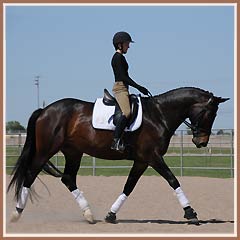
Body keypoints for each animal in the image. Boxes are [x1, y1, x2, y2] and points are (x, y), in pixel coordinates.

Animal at [7, 87, 229, 224]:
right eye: (210, 114)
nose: (201, 142)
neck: (159, 115)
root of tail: (45, 109)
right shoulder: (153, 157)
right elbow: (173, 180)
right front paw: (191, 214)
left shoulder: (141, 161)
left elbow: (129, 186)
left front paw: (111, 215)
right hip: (46, 150)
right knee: (30, 174)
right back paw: (16, 213)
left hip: (73, 152)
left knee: (68, 178)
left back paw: (88, 214)